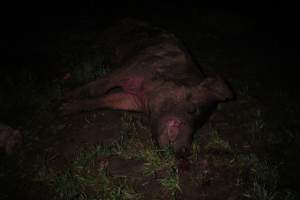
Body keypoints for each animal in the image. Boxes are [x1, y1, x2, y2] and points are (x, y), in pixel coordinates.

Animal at [60, 18, 234, 154]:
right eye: (193, 110)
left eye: (199, 125)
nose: (184, 151)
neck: (145, 93)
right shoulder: (128, 69)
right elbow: (96, 87)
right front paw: (63, 100)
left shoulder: (130, 100)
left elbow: (106, 100)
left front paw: (64, 109)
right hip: (106, 39)